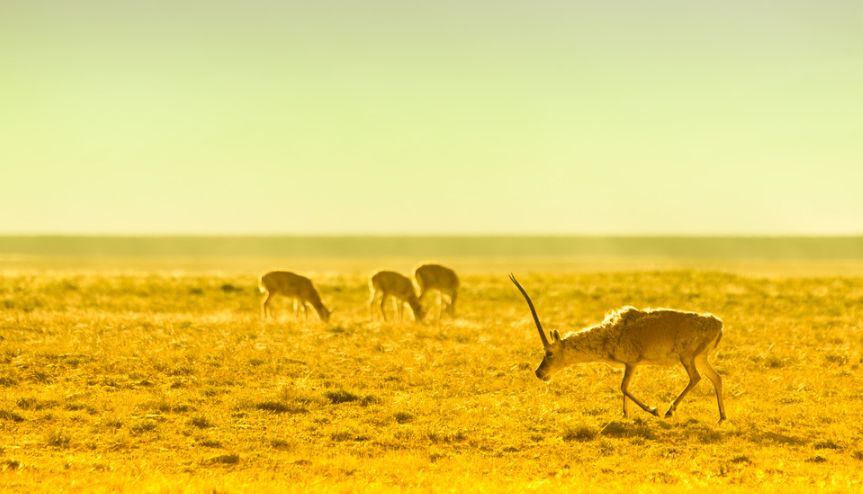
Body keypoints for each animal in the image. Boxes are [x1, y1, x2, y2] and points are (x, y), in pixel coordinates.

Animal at [510, 274, 724, 420]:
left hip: (687, 358)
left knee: (695, 378)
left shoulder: (631, 363)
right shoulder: (628, 365)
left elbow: (623, 387)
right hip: (700, 358)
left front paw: (653, 410)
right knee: (716, 378)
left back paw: (669, 411)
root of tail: (718, 323)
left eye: (549, 353)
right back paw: (721, 418)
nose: (539, 373)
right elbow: (623, 389)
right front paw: (625, 415)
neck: (608, 333)